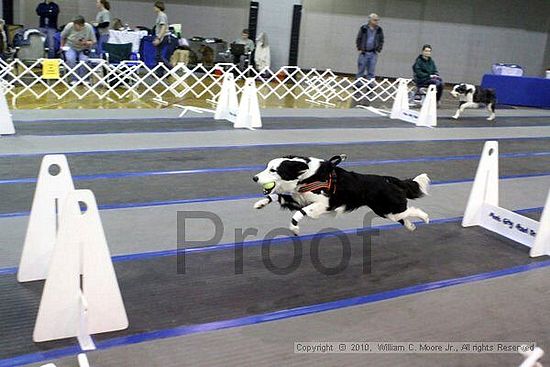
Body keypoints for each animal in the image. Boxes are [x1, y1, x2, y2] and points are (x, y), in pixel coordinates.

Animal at [253, 155, 432, 236]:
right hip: (386, 211)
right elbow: (277, 197)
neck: (308, 175)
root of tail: (389, 179)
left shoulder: (323, 204)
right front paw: (260, 203)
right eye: (267, 167)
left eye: (273, 170)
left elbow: (299, 213)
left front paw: (294, 228)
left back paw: (426, 218)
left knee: (412, 210)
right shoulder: (299, 199)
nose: (254, 178)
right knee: (403, 216)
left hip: (388, 208)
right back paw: (411, 226)